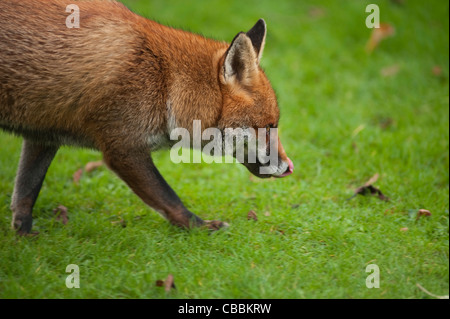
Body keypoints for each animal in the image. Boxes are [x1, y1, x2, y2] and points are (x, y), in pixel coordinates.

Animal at [0, 0, 294, 235]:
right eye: (269, 126)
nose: (290, 167)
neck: (166, 80)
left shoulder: (44, 133)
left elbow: (26, 191)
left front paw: (24, 238)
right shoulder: (123, 148)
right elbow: (169, 199)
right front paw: (200, 228)